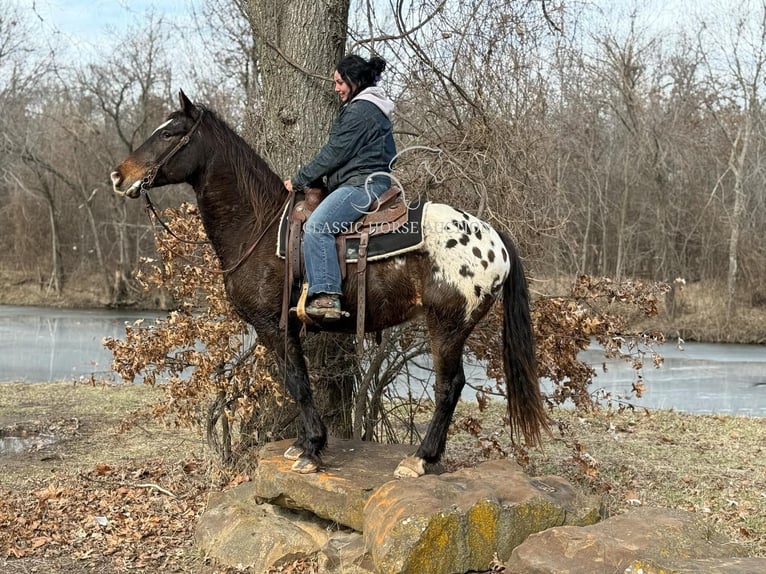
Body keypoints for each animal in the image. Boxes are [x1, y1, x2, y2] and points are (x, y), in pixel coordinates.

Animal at [109, 89, 552, 476]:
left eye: (170, 133)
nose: (118, 175)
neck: (260, 224)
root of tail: (493, 236)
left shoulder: (273, 325)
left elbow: (297, 382)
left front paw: (312, 449)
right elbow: (298, 381)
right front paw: (304, 444)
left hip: (447, 325)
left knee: (449, 386)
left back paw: (420, 458)